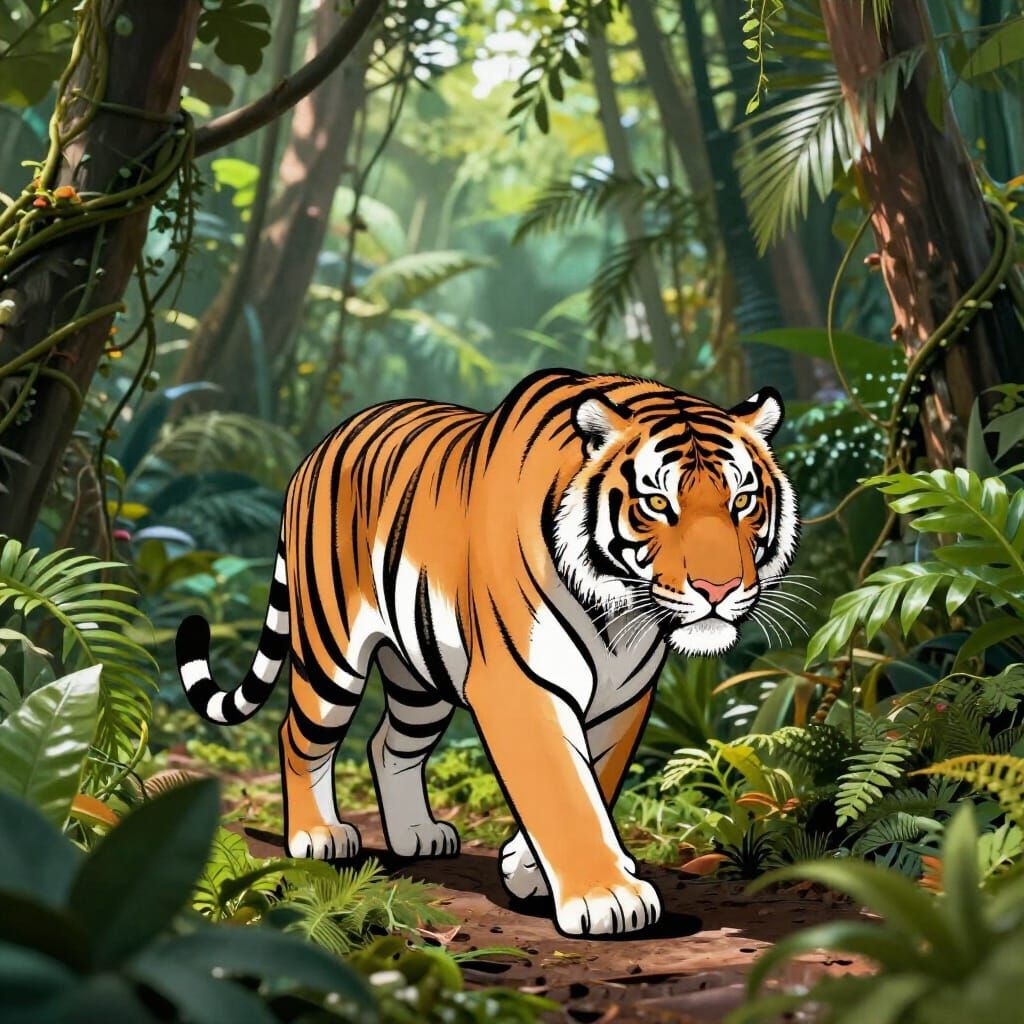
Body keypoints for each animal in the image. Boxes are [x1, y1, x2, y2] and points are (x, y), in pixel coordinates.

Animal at [176, 368, 798, 937]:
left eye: (744, 501)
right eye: (657, 503)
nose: (718, 589)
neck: (619, 615)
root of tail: (316, 450)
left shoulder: (624, 697)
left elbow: (593, 779)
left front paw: (525, 869)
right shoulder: (517, 684)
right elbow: (563, 787)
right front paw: (606, 896)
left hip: (420, 679)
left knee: (388, 744)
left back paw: (417, 834)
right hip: (332, 652)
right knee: (298, 734)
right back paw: (318, 836)